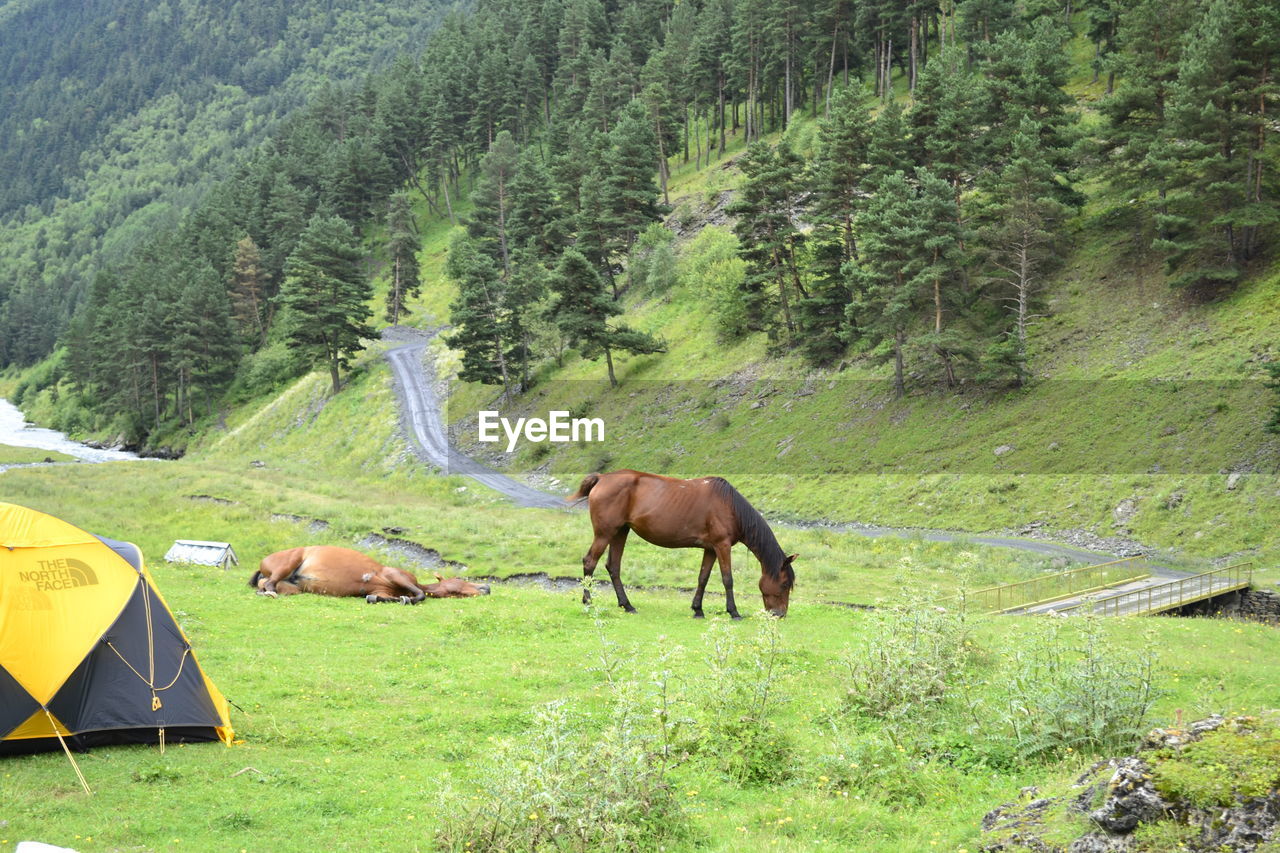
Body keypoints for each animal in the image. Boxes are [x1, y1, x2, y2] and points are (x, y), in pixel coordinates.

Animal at [568, 468, 793, 614]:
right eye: (784, 584)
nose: (779, 614)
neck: (730, 506)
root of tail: (602, 478)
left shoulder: (711, 549)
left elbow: (703, 578)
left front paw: (698, 609)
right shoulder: (722, 546)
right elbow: (727, 579)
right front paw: (733, 612)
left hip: (621, 532)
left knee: (613, 566)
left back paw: (627, 605)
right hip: (605, 533)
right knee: (590, 562)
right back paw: (588, 601)